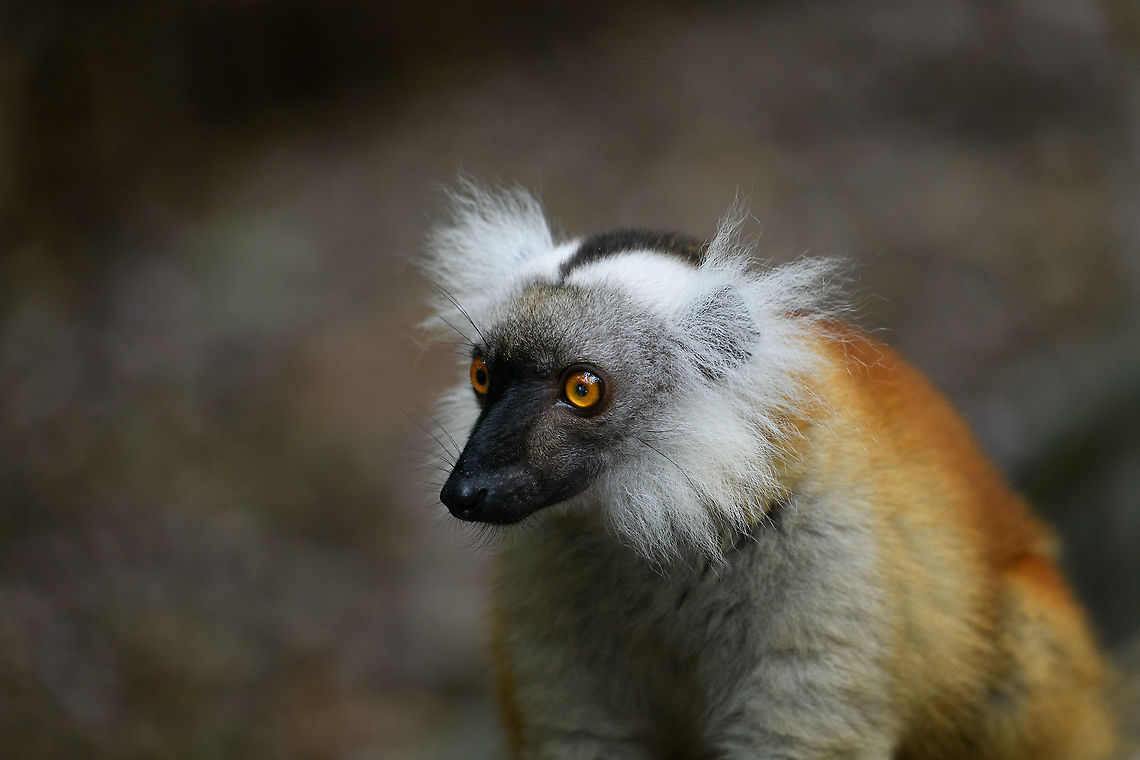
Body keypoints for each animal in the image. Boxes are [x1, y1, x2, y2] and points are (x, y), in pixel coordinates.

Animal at [420, 184, 1117, 760]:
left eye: (583, 390)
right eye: (482, 376)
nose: (466, 491)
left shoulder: (824, 560)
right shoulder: (549, 570)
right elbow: (586, 734)